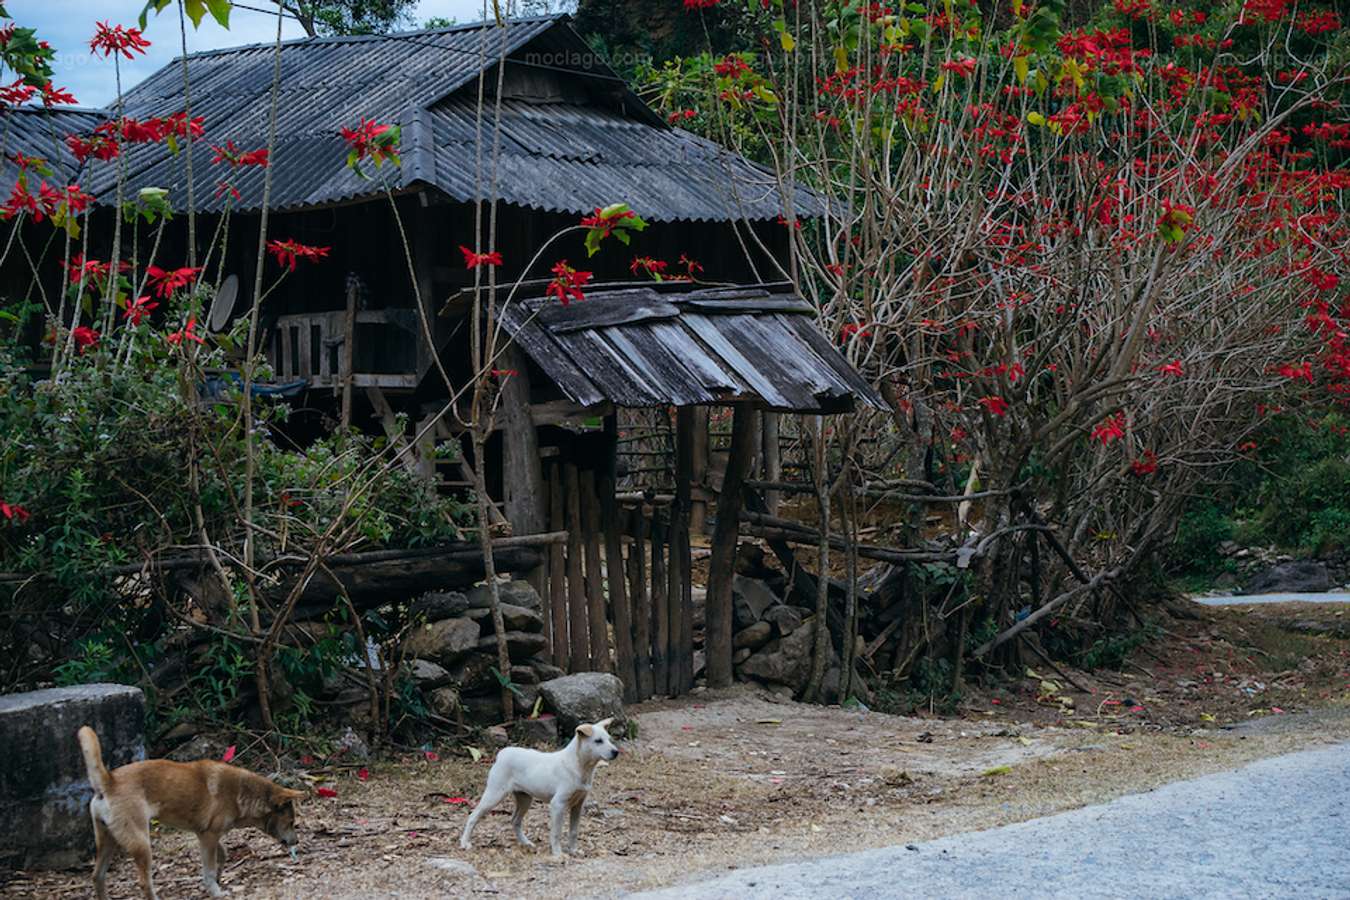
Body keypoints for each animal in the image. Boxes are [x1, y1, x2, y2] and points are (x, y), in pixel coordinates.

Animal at [77, 723, 305, 900]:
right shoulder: (209, 836)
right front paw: (215, 890)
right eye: (291, 823)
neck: (239, 793)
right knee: (143, 881)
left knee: (97, 876)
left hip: (108, 840)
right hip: (141, 843)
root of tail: (109, 782)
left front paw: (219, 878)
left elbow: (222, 855)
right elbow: (209, 868)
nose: (297, 841)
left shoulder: (206, 834)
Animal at [456, 717, 618, 858]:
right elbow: (556, 832)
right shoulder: (557, 804)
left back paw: (526, 843)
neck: (579, 766)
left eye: (609, 739)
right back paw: (464, 843)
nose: (616, 752)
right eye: (598, 741)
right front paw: (558, 854)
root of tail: (503, 753)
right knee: (473, 816)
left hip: (525, 799)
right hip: (494, 795)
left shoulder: (578, 805)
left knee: (515, 821)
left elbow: (573, 831)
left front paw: (573, 851)